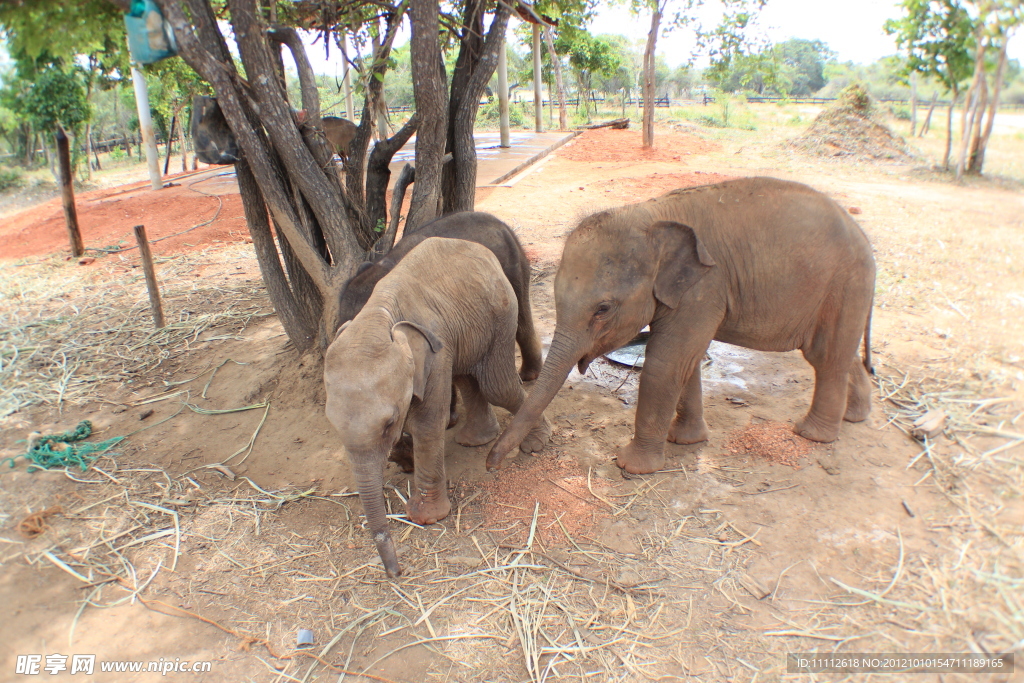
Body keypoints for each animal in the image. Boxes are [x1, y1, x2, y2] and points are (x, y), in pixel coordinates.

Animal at [327, 236, 552, 577]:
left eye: (389, 423)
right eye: (333, 425)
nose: (396, 573)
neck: (377, 316)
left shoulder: (435, 353)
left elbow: (427, 423)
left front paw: (426, 517)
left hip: (501, 312)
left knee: (496, 385)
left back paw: (536, 443)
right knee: (467, 377)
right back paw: (476, 440)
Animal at [491, 176, 876, 475]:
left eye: (603, 309)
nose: (491, 461)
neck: (650, 214)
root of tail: (860, 233)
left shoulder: (705, 287)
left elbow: (667, 362)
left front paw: (631, 466)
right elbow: (686, 362)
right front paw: (686, 440)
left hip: (846, 282)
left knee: (825, 355)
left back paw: (812, 434)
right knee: (836, 353)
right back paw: (855, 416)